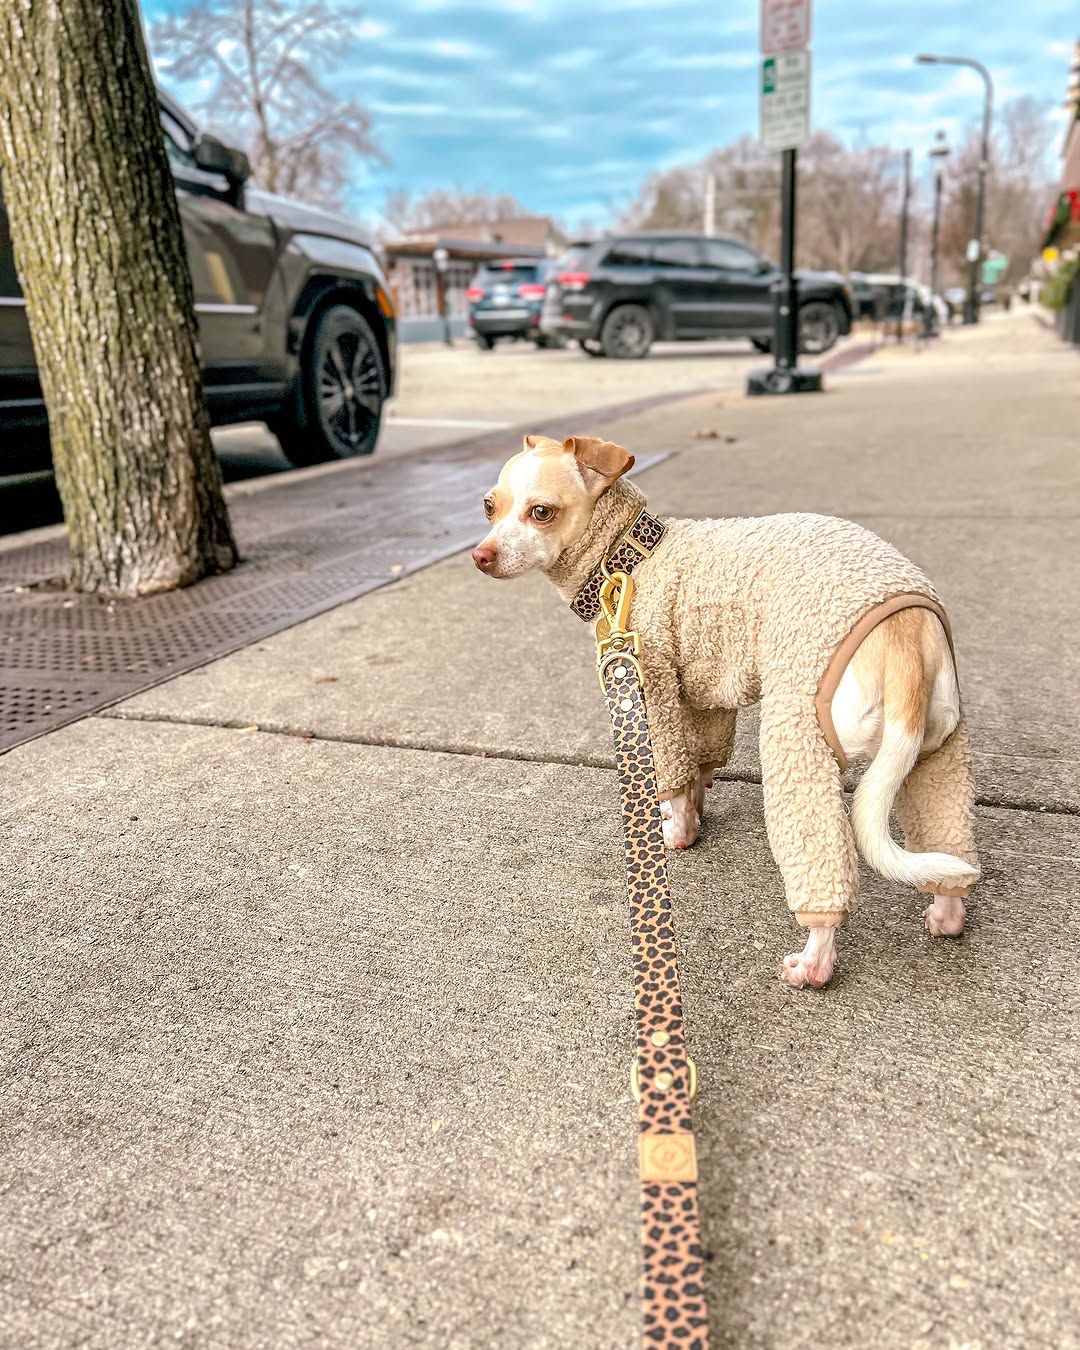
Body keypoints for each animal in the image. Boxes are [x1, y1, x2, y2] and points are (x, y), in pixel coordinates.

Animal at [472, 437, 977, 988]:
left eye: (541, 512)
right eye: (489, 507)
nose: (480, 556)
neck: (628, 559)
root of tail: (904, 629)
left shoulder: (652, 691)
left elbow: (671, 782)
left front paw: (673, 833)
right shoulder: (704, 695)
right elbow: (698, 769)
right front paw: (692, 820)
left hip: (798, 733)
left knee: (820, 863)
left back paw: (813, 961)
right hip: (937, 751)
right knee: (950, 845)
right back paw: (946, 911)